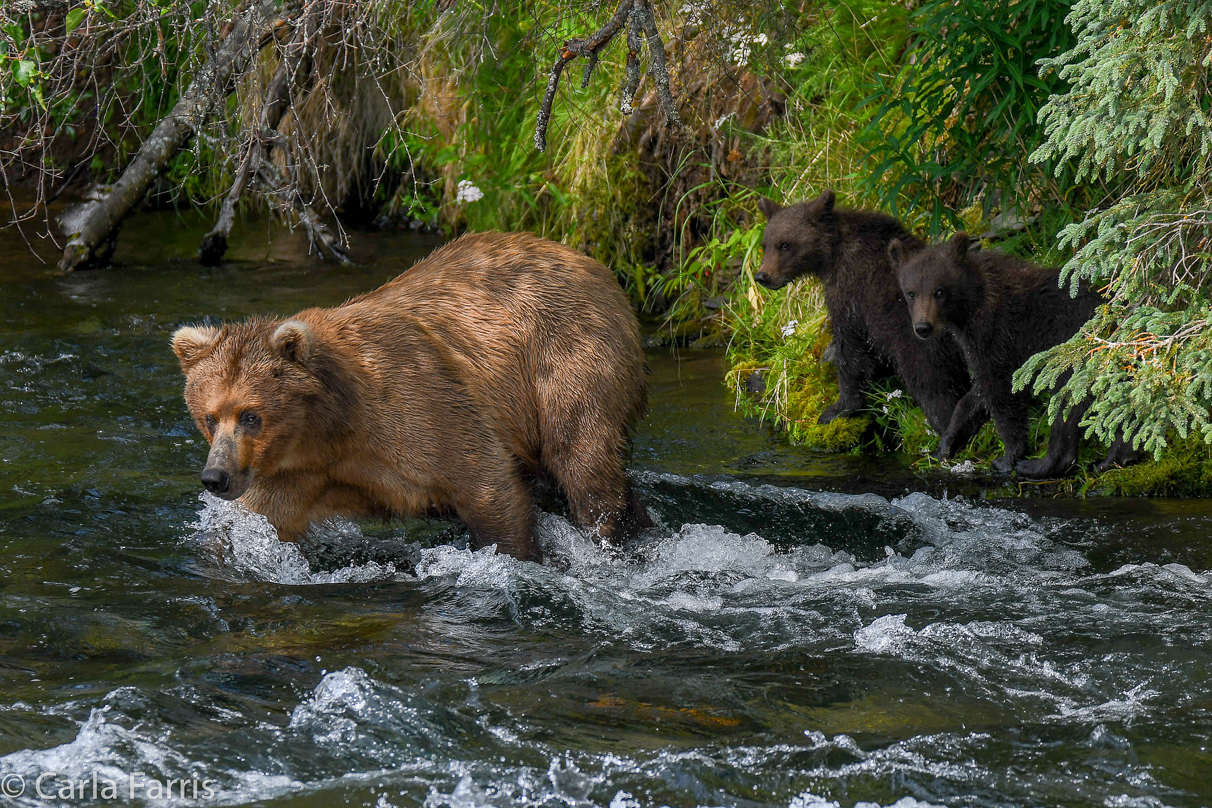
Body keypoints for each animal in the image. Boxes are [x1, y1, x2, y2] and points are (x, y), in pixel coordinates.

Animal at [170, 232, 654, 562]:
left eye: (250, 415)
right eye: (209, 417)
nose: (215, 477)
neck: (332, 427)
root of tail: (591, 263)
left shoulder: (416, 401)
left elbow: (486, 484)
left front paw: (521, 557)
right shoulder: (298, 472)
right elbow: (256, 520)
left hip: (569, 353)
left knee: (582, 457)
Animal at [756, 190, 984, 455]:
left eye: (785, 244)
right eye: (765, 244)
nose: (762, 276)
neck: (830, 257)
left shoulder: (851, 292)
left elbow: (851, 350)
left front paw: (836, 409)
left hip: (923, 348)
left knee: (935, 389)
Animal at [892, 230, 1134, 477]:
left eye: (939, 291)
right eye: (911, 293)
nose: (923, 327)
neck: (971, 306)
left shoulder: (996, 332)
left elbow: (1001, 391)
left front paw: (1008, 457)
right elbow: (976, 396)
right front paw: (946, 443)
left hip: (1075, 358)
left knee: (1066, 406)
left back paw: (1041, 464)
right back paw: (1113, 458)